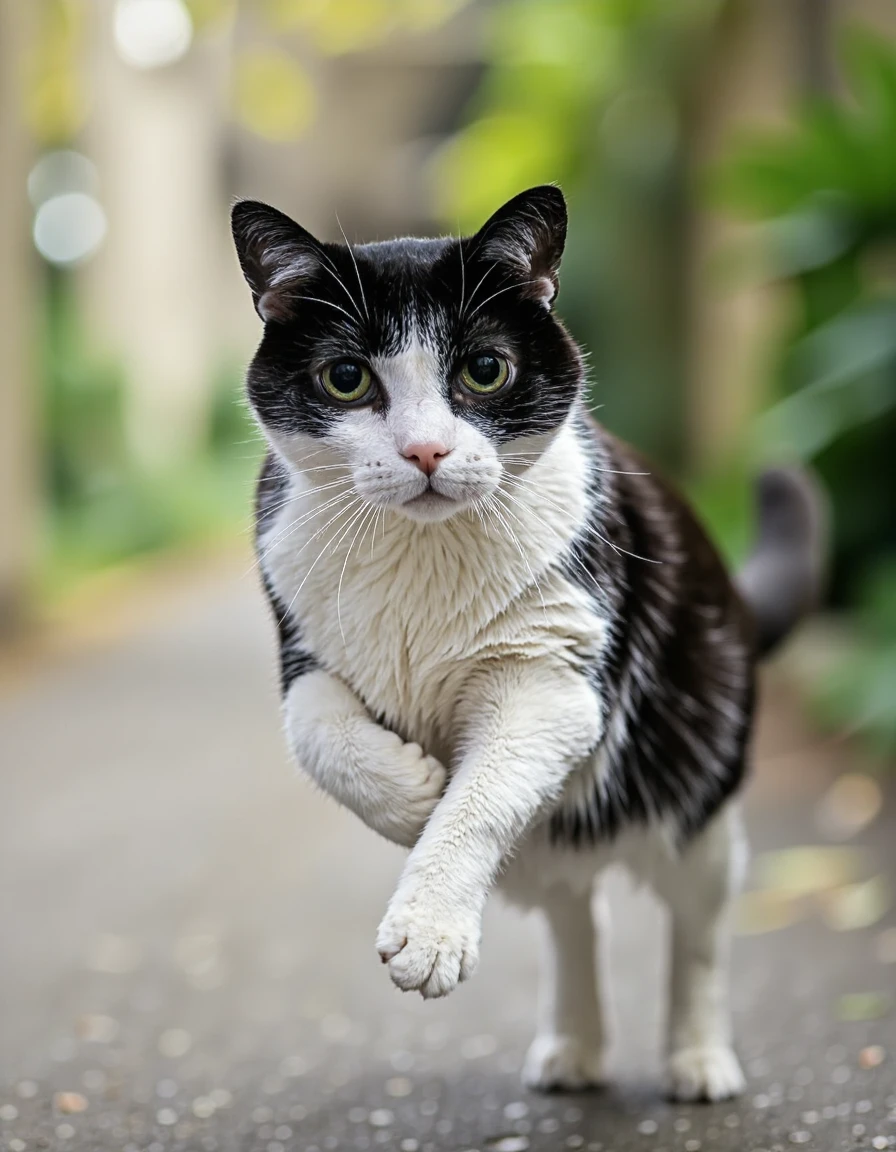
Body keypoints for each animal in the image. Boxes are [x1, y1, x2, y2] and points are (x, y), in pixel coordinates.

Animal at [229, 184, 815, 1101]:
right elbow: (315, 733)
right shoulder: (304, 648)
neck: (423, 557)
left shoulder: (554, 679)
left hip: (700, 798)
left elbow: (480, 798)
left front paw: (429, 927)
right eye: (346, 378)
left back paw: (698, 1057)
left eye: (485, 369)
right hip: (552, 856)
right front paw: (411, 795)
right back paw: (574, 1044)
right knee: (576, 914)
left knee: (699, 930)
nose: (426, 450)